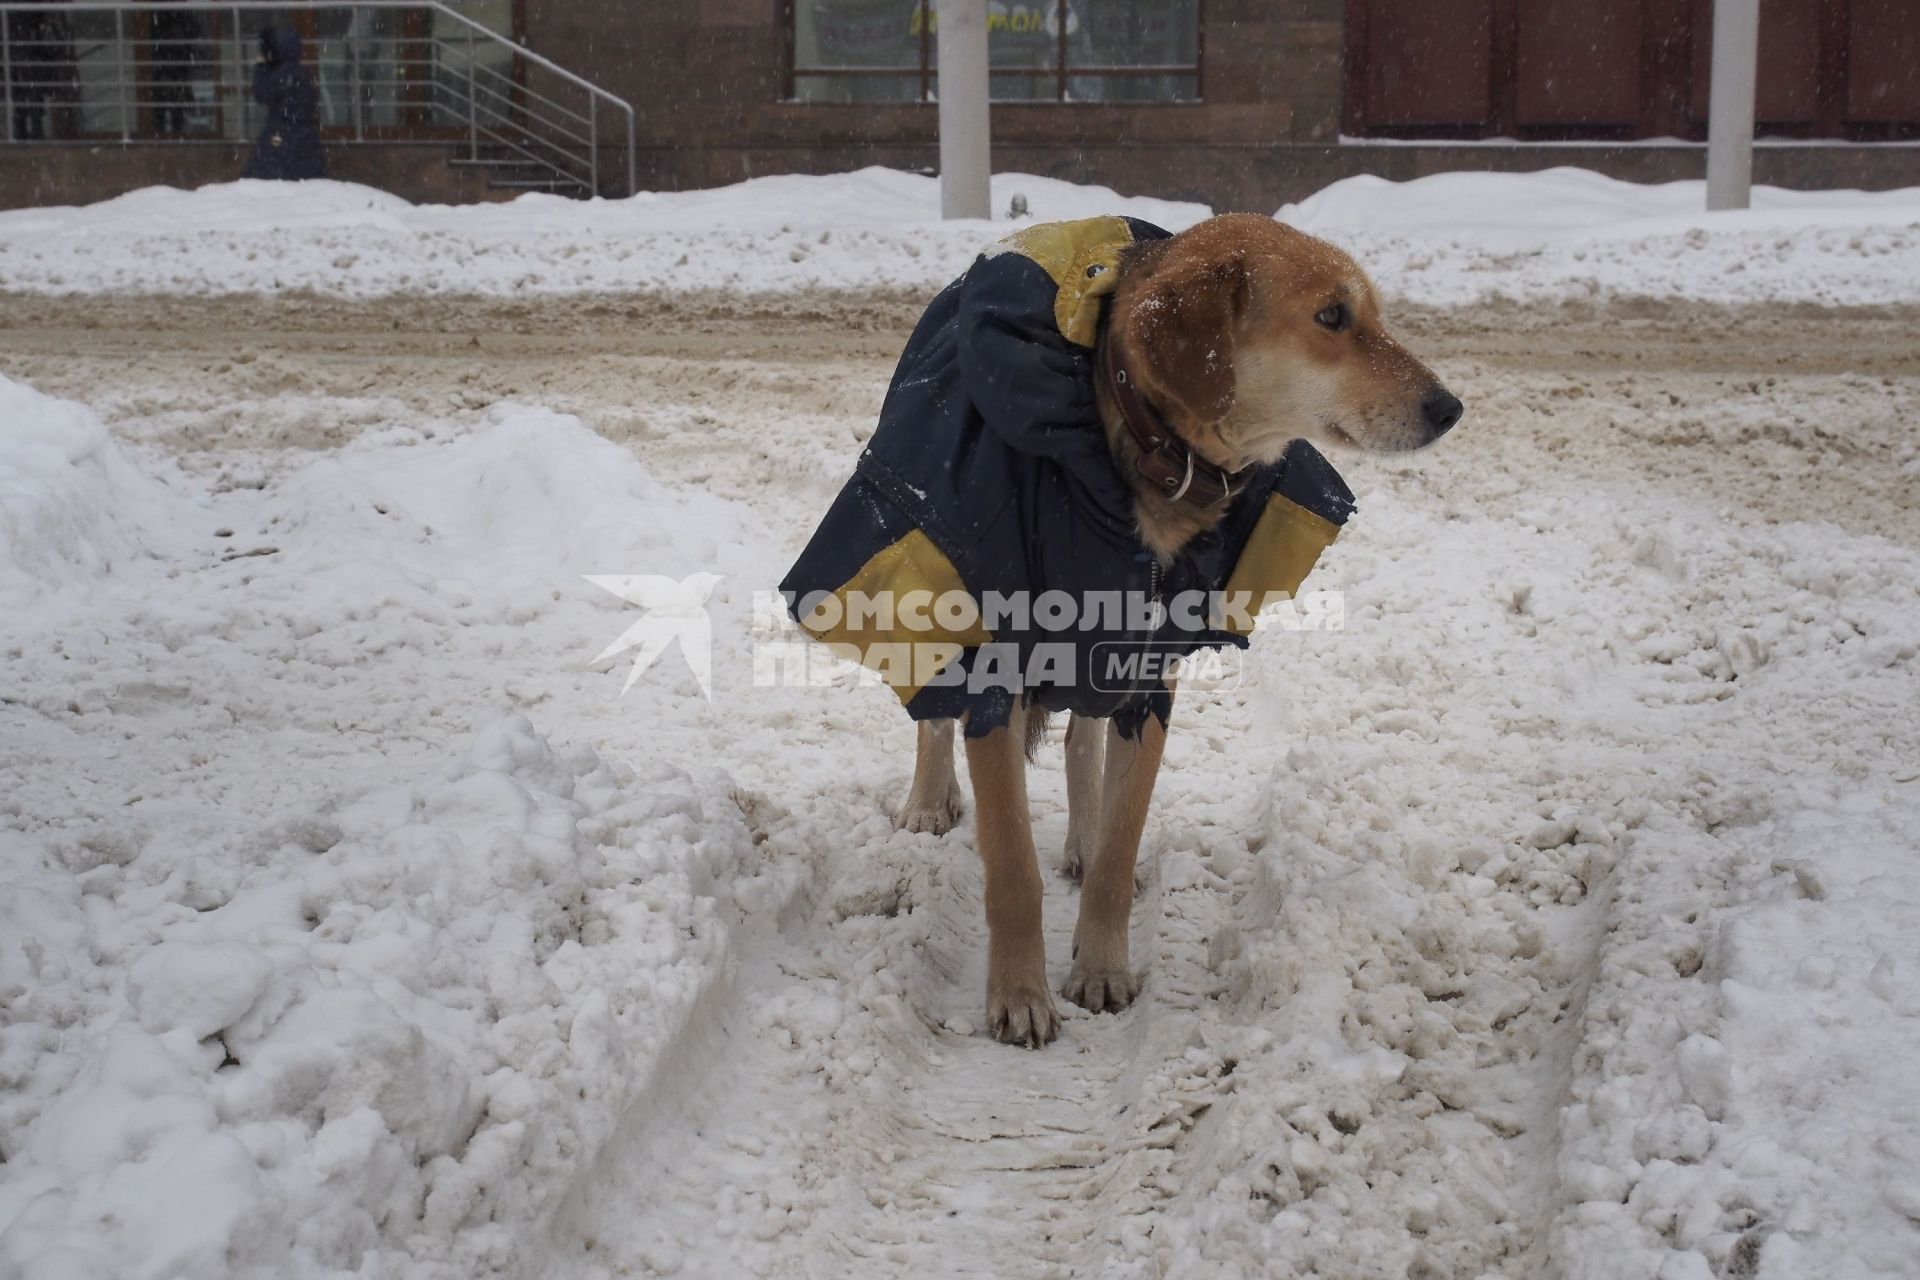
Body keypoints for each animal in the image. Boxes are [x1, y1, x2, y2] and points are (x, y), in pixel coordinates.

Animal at [779, 210, 1451, 1043]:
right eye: (1331, 316)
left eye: (1377, 314)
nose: (1450, 408)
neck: (1150, 459)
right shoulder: (994, 667)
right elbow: (1011, 866)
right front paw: (1019, 994)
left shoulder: (1147, 677)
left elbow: (1116, 840)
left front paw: (1100, 961)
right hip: (926, 577)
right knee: (934, 709)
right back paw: (930, 799)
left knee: (1082, 740)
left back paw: (1082, 833)